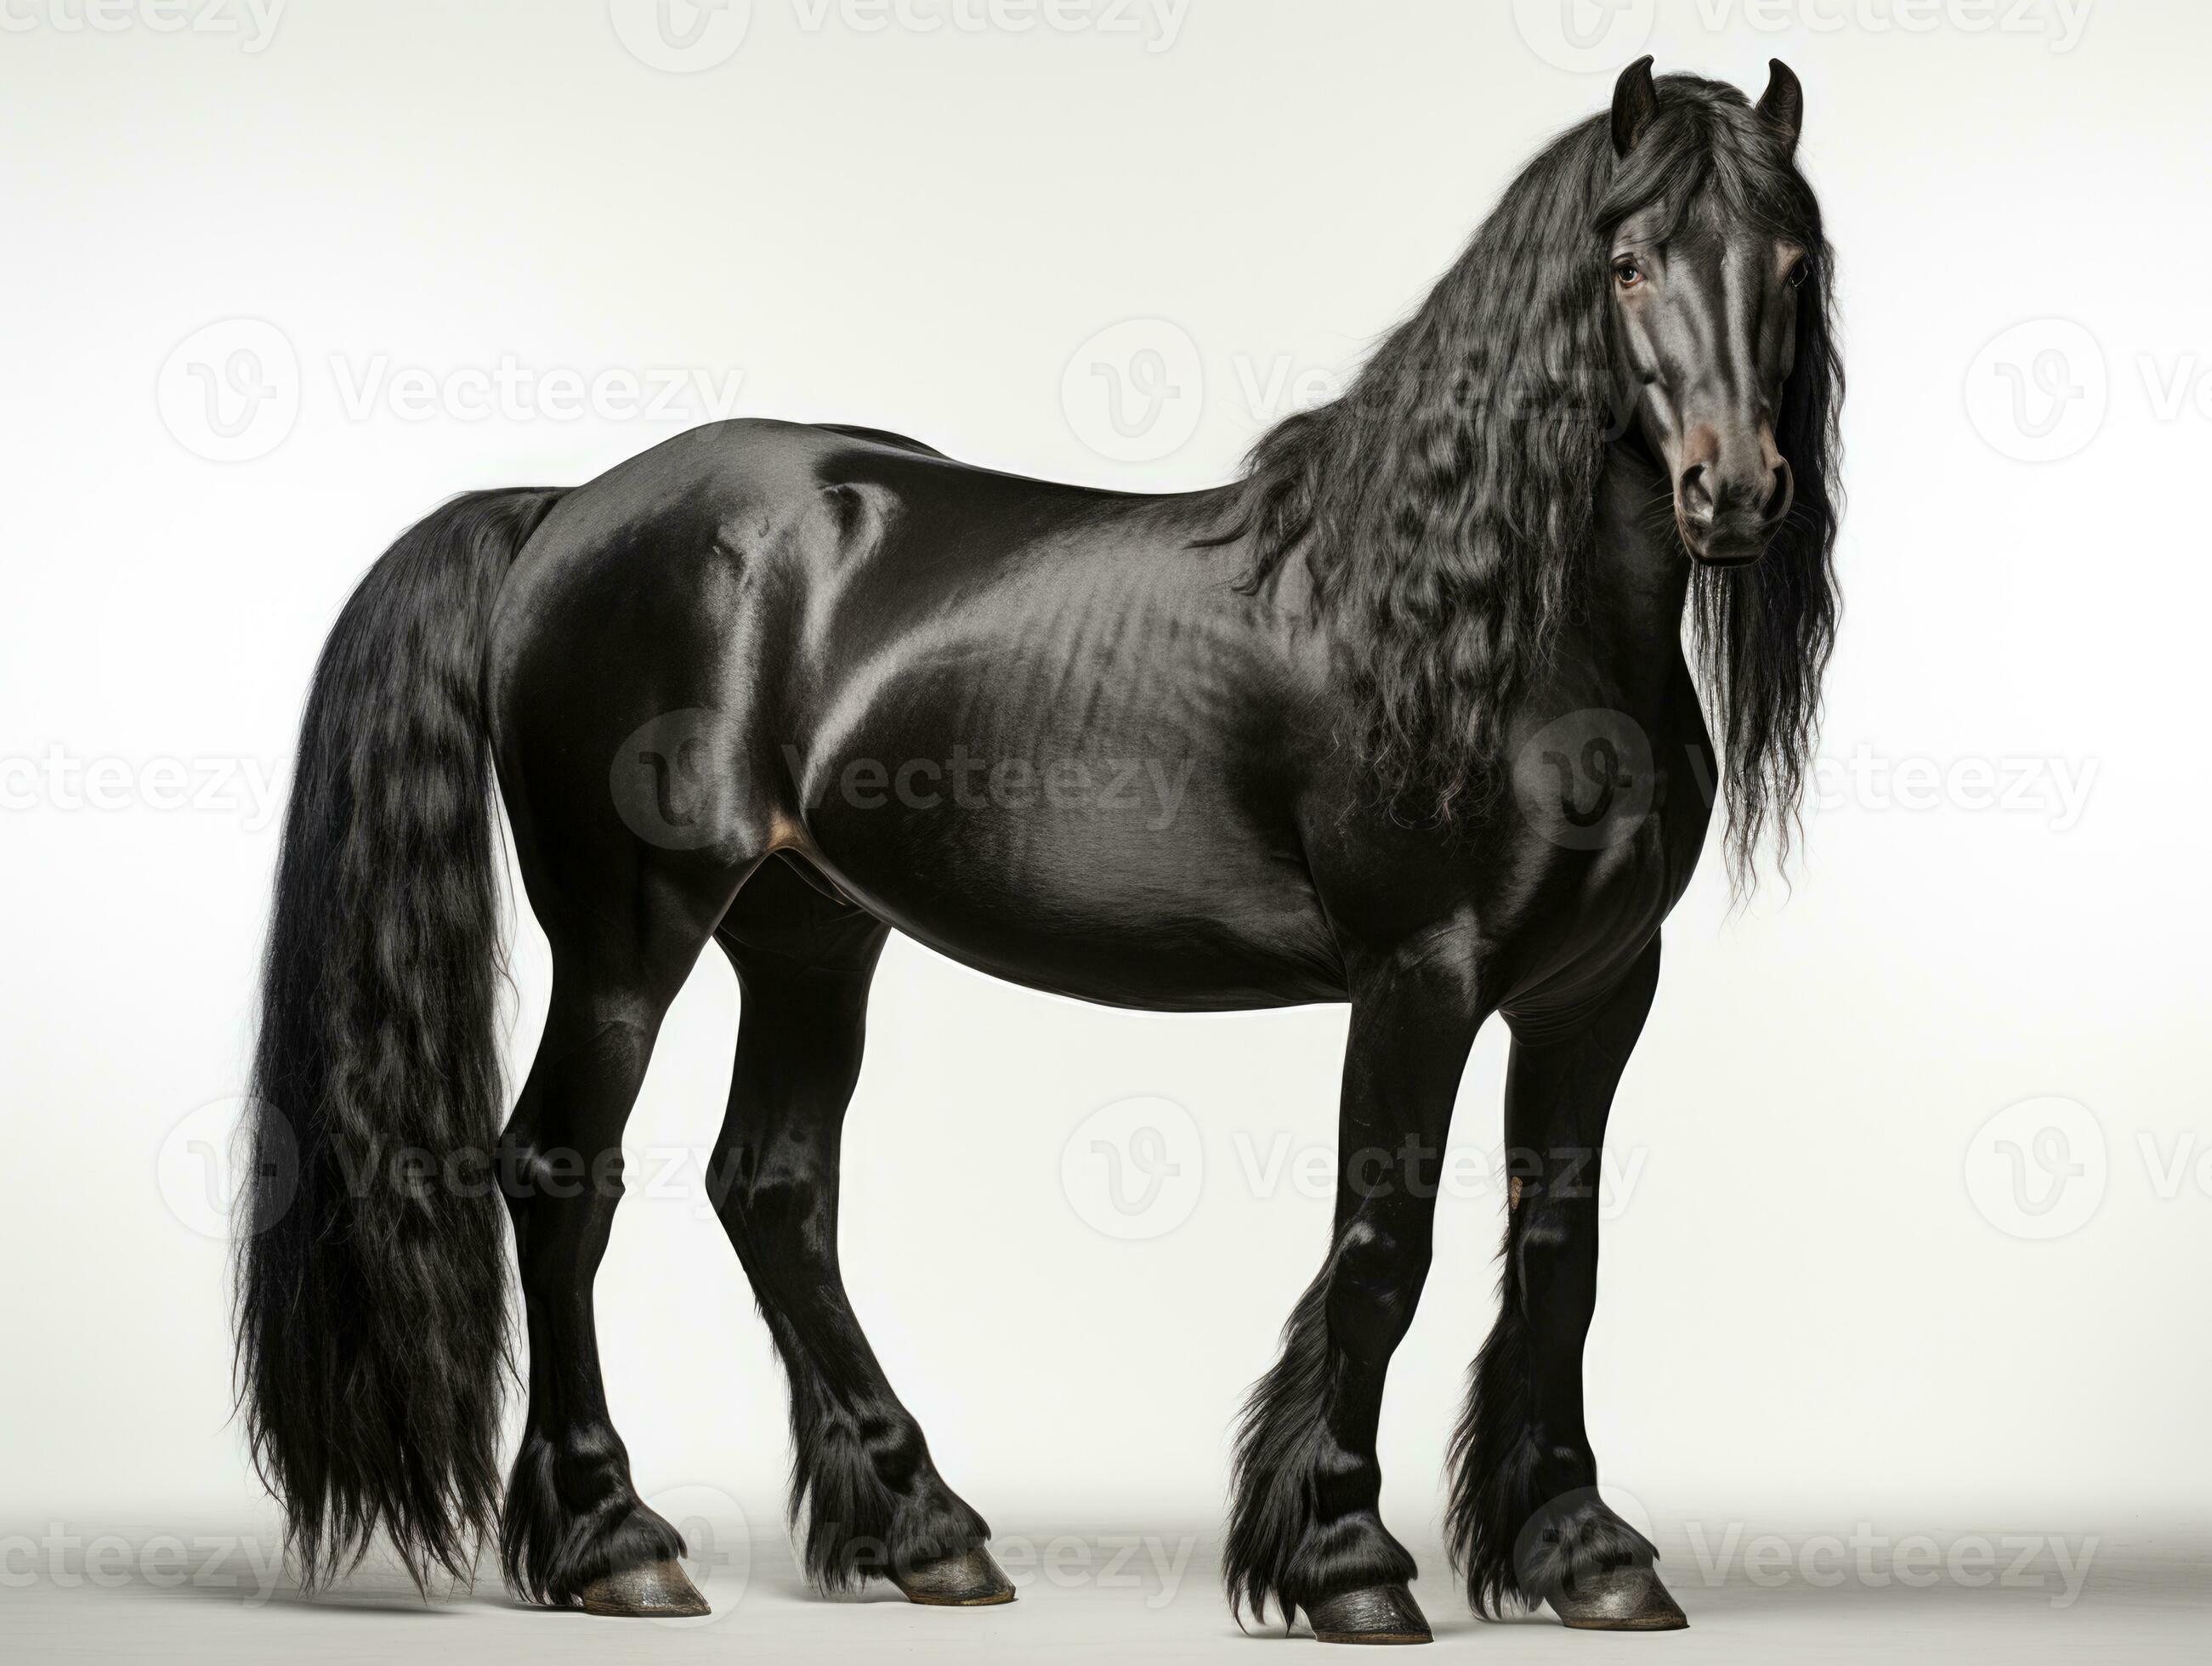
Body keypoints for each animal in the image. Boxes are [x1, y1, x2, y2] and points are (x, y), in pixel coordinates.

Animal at [234, 57, 1839, 1644]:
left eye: (1790, 263)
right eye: (1625, 265)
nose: (1734, 493)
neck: (1472, 632)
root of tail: (564, 511)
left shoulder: (1594, 990)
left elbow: (1561, 1256)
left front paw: (1582, 1548)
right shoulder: (1418, 978)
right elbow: (1383, 1253)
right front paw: (1344, 1558)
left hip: (808, 935)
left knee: (772, 1189)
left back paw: (922, 1530)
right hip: (629, 936)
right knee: (562, 1175)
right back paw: (617, 1540)